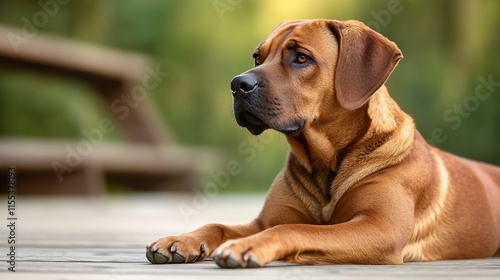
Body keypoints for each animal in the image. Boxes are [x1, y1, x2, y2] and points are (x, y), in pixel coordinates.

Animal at [146, 18, 500, 268]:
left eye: (301, 58)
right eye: (258, 57)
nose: (237, 84)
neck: (325, 162)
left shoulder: (380, 228)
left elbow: (298, 230)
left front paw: (249, 246)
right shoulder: (266, 220)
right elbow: (217, 224)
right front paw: (182, 239)